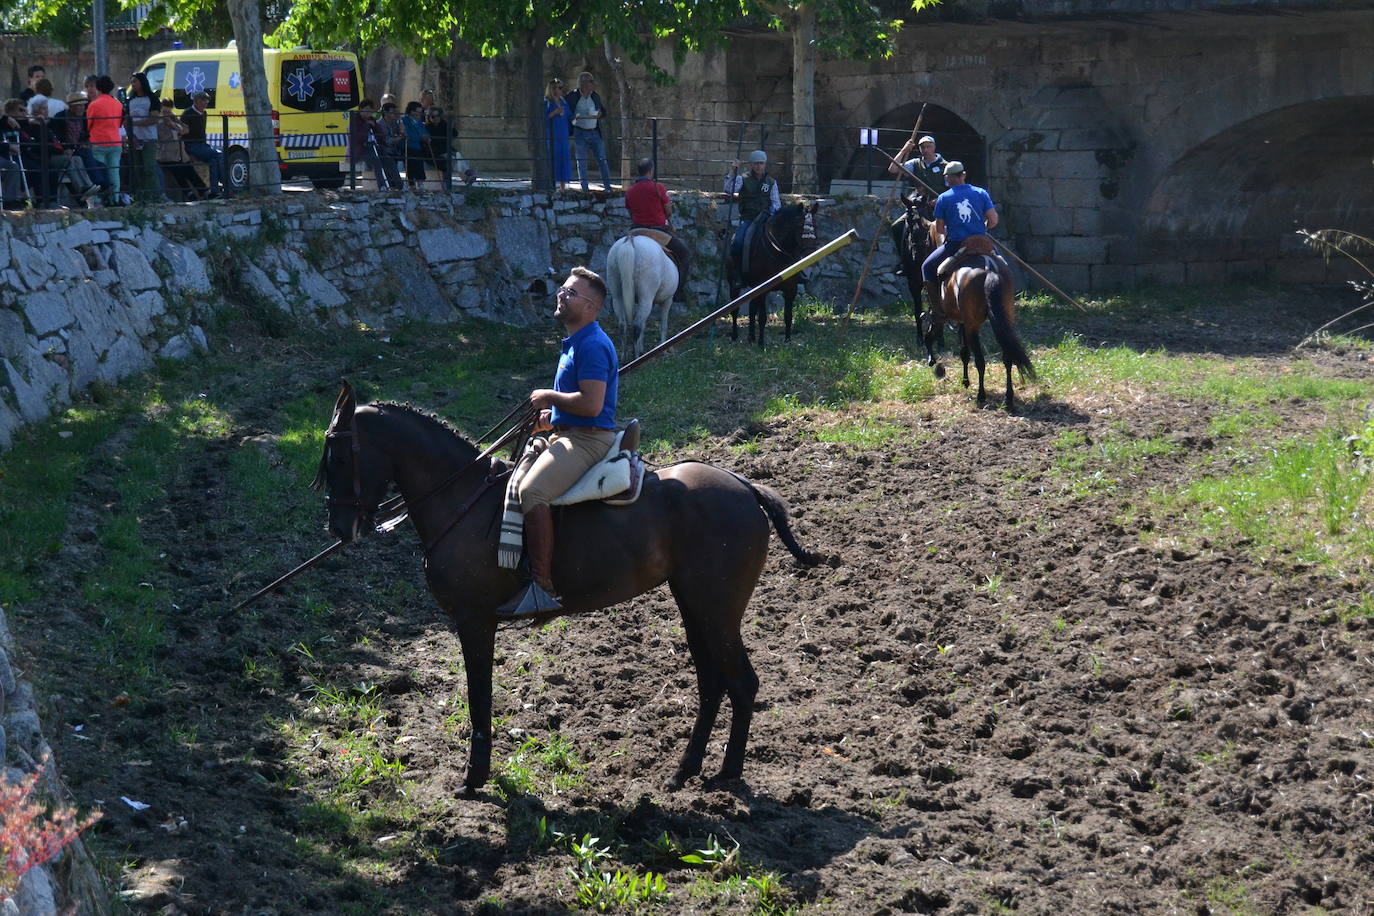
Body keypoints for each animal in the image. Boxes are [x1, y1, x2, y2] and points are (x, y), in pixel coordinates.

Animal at [316, 384, 818, 796]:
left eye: (338, 456)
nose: (339, 528)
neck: (463, 500)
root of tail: (744, 486)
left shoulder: (474, 621)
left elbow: (479, 698)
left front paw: (474, 779)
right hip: (695, 606)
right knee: (712, 682)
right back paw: (686, 769)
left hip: (718, 609)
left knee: (742, 682)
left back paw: (728, 772)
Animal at [725, 203, 818, 347]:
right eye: (799, 226)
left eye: (814, 226)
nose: (810, 260)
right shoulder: (763, 289)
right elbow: (763, 317)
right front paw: (761, 343)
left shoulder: (790, 290)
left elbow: (788, 316)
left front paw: (788, 341)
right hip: (734, 285)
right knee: (735, 310)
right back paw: (735, 336)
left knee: (752, 307)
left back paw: (751, 337)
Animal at [928, 233, 1033, 411]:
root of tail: (989, 268)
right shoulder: (963, 322)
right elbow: (964, 352)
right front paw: (965, 381)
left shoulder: (963, 322)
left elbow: (965, 352)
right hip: (1003, 319)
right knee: (1007, 357)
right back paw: (1009, 397)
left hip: (972, 324)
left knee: (980, 361)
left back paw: (981, 395)